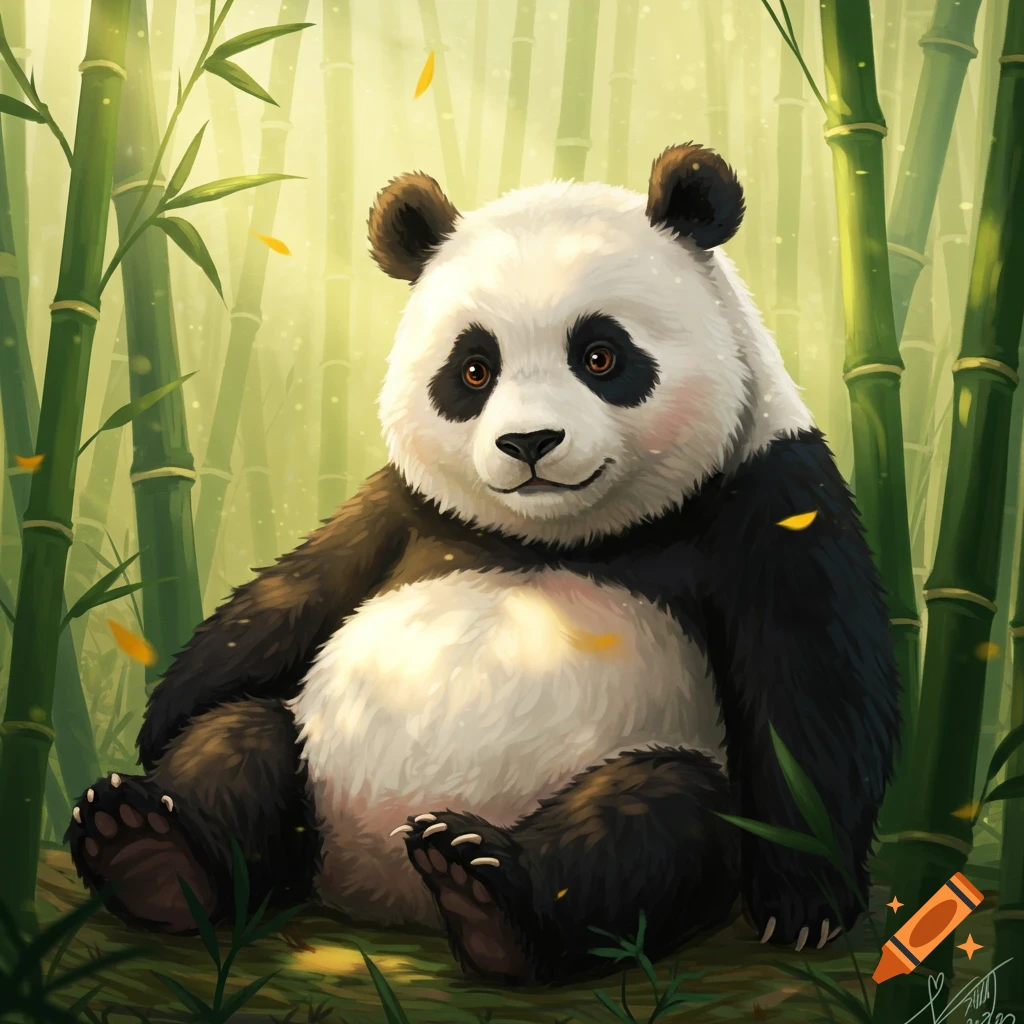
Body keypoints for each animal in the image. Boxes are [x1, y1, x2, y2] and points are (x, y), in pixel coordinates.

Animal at [67, 143, 900, 986]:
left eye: (601, 356)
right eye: (474, 369)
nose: (528, 443)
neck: (555, 535)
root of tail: (380, 889)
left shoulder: (770, 494)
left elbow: (811, 688)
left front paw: (803, 901)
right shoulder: (405, 506)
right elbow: (288, 596)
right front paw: (157, 727)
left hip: (641, 774)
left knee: (654, 819)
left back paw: (487, 892)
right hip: (312, 776)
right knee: (243, 736)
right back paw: (150, 850)